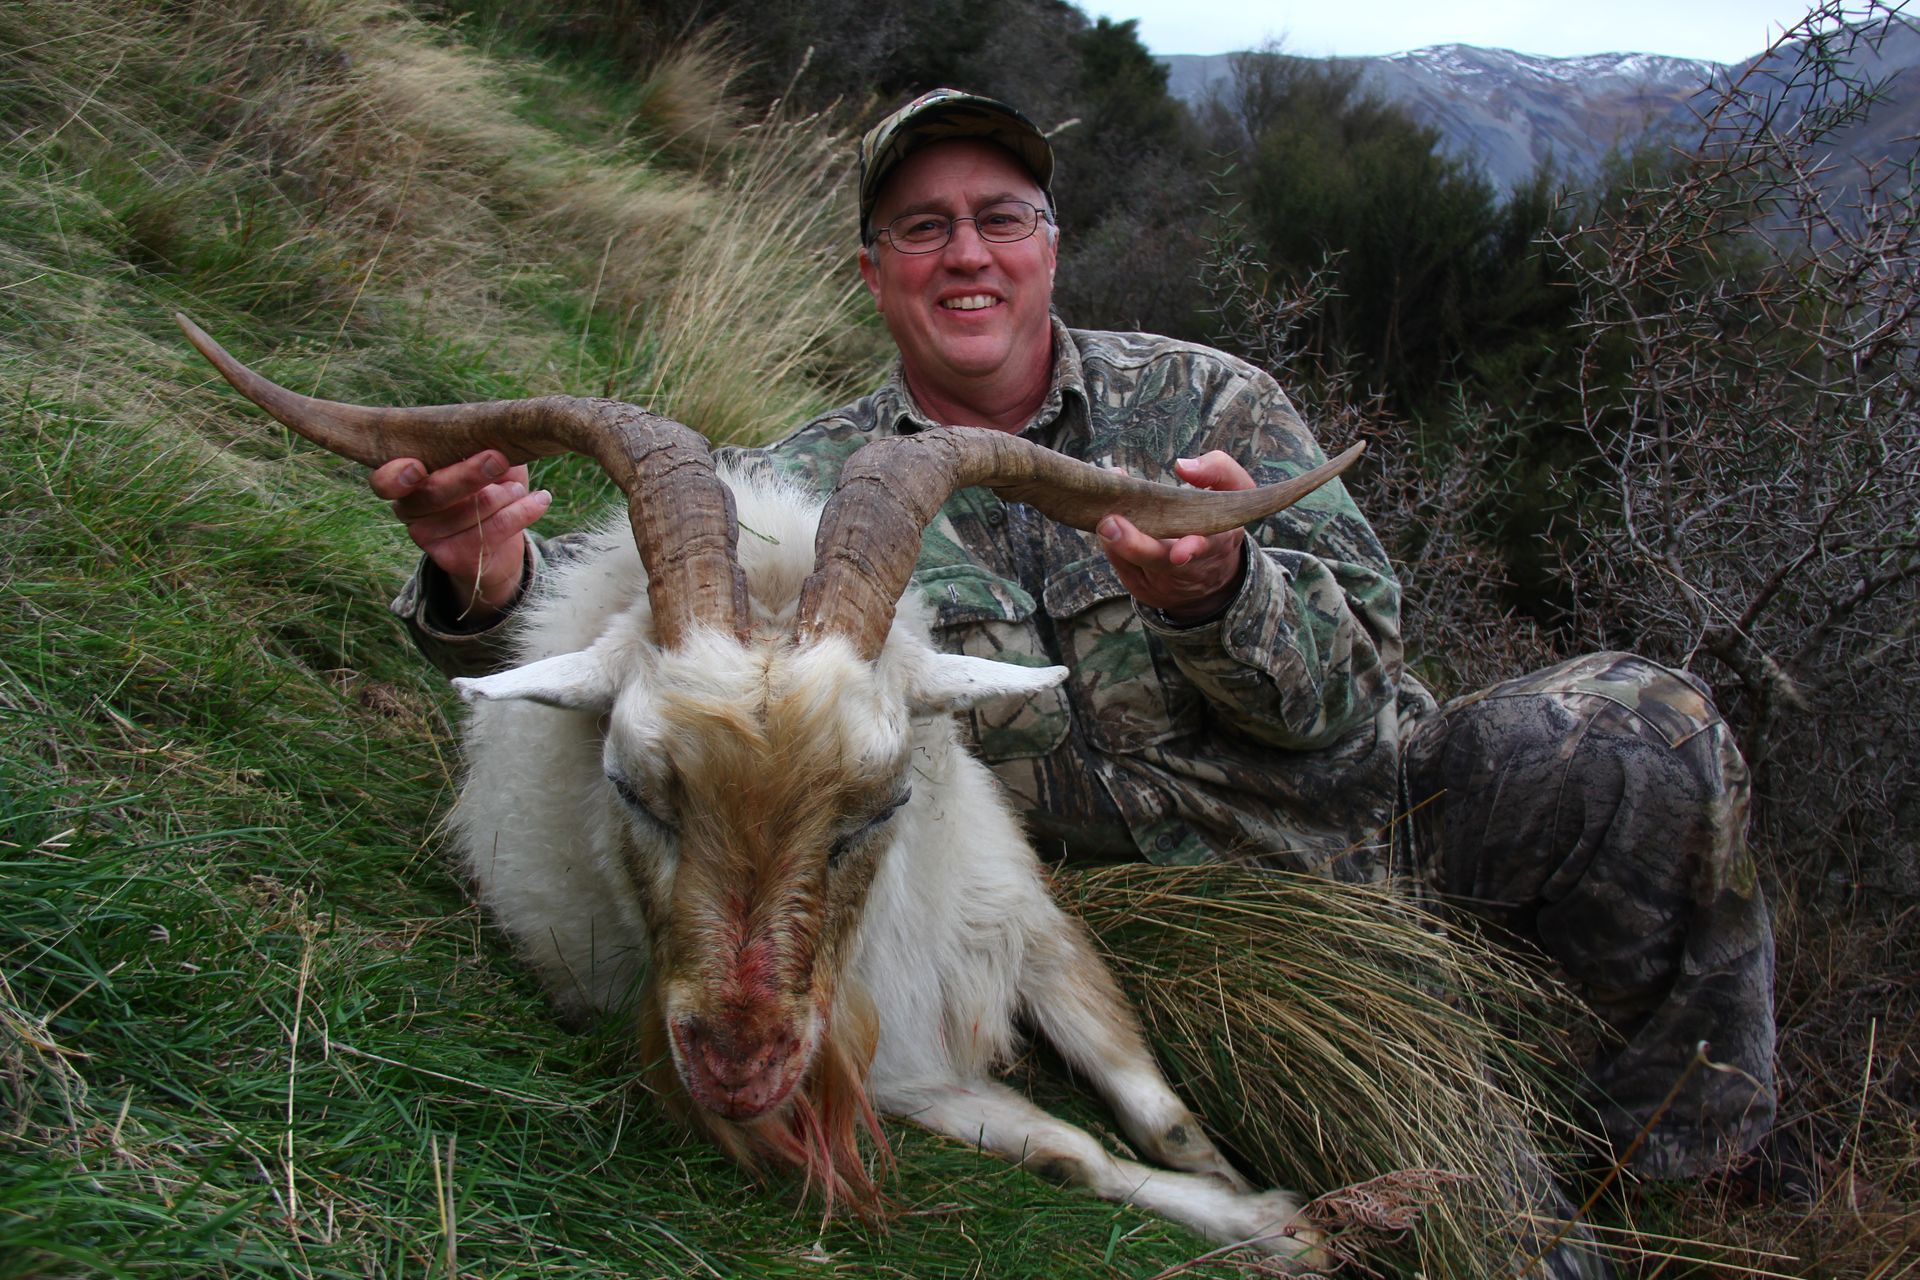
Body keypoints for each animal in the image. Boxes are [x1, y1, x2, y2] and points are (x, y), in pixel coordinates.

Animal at [178, 314, 1363, 1262]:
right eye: (632, 787)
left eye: (883, 804)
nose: (739, 1067)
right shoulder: (890, 1068)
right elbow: (1070, 1152)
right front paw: (1275, 1225)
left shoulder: (1027, 922)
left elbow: (1160, 1111)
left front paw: (1267, 1200)